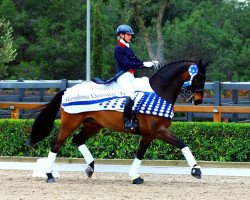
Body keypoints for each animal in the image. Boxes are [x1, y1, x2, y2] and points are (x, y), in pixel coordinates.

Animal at [26, 59, 209, 184]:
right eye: (199, 78)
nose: (198, 100)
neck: (159, 91)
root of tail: (67, 90)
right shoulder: (158, 131)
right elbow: (182, 143)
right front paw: (196, 170)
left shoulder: (150, 134)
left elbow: (140, 153)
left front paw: (135, 176)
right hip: (70, 123)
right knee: (56, 144)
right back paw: (50, 175)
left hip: (93, 125)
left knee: (77, 140)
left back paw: (90, 168)